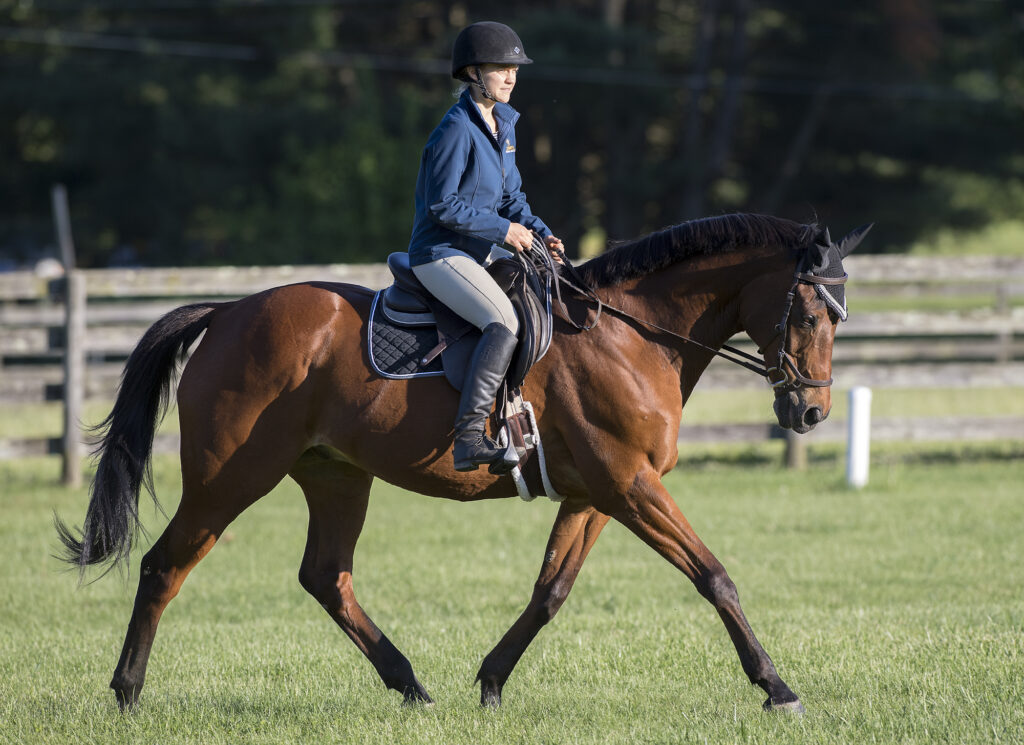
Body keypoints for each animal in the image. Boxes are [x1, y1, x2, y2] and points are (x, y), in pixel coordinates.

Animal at [56, 212, 868, 712]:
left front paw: (491, 680)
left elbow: (551, 591)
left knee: (326, 576)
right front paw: (777, 686)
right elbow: (714, 576)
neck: (633, 335)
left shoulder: (597, 494)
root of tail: (225, 312)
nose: (811, 414)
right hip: (231, 477)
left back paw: (411, 685)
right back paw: (127, 691)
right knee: (165, 566)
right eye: (809, 311)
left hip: (336, 474)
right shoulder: (629, 485)